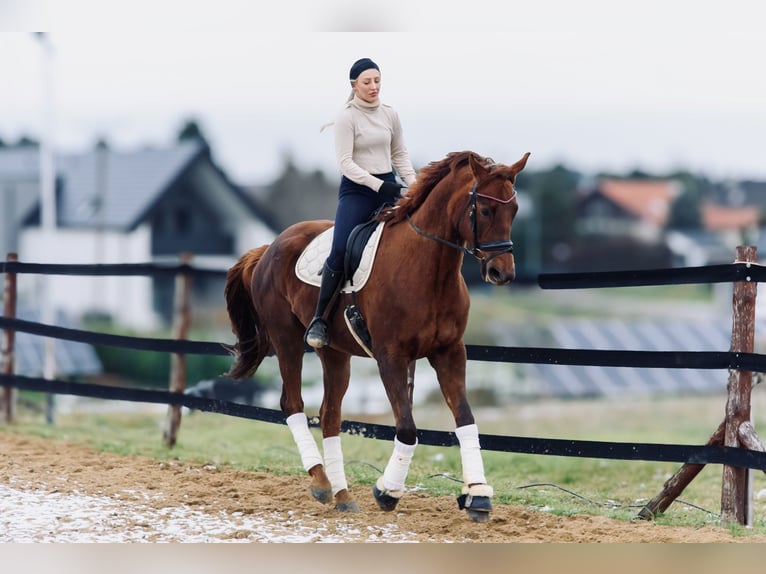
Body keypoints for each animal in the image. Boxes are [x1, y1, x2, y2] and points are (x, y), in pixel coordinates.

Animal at [224, 150, 530, 522]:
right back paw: (321, 482)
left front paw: (478, 495)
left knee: (330, 415)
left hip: (335, 353)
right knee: (292, 404)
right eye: (484, 210)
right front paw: (387, 491)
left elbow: (466, 419)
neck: (429, 269)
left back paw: (342, 495)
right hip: (287, 342)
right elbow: (408, 428)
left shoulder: (450, 352)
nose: (502, 273)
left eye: (514, 210)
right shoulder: (391, 358)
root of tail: (270, 246)